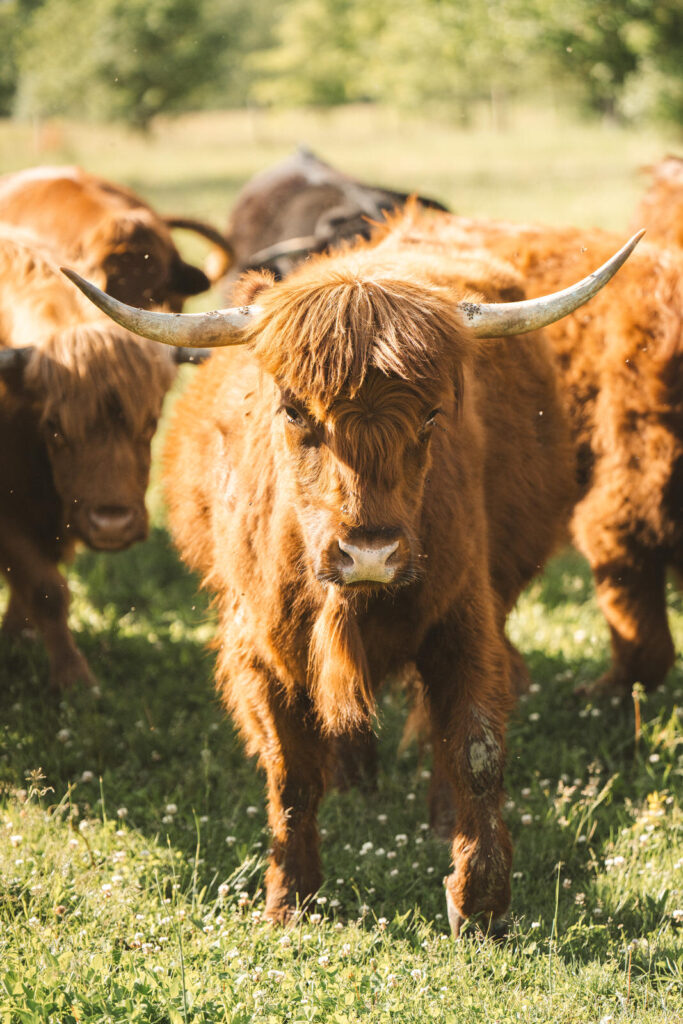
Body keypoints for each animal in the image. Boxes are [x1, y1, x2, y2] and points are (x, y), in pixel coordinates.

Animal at [0, 229, 176, 692]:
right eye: (54, 427)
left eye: (151, 422)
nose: (112, 523)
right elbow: (47, 589)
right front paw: (74, 678)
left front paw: (17, 639)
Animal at [65, 211, 643, 933]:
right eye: (293, 411)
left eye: (432, 413)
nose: (370, 553)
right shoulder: (260, 648)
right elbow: (290, 771)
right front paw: (290, 896)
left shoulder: (466, 618)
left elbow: (475, 748)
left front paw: (477, 902)